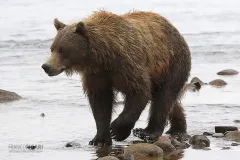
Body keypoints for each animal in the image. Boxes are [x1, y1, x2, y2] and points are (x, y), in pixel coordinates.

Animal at [41, 10, 191, 146]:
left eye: (62, 49)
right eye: (52, 48)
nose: (46, 66)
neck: (101, 57)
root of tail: (175, 29)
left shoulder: (126, 65)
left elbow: (139, 91)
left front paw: (116, 131)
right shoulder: (96, 75)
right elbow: (100, 103)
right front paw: (100, 139)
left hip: (172, 64)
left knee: (164, 98)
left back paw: (147, 132)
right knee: (170, 101)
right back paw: (177, 128)